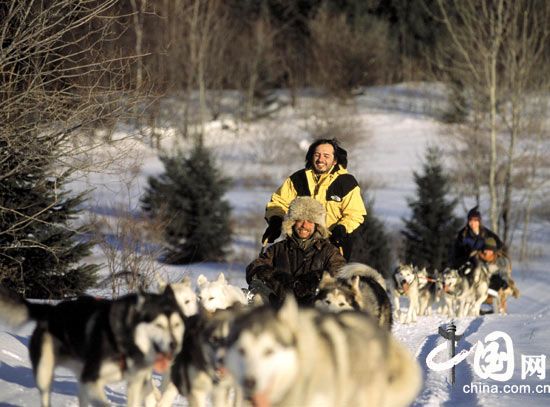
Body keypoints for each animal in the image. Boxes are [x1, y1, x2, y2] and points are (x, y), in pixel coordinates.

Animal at [0, 286, 185, 407]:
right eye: (159, 325)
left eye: (176, 324)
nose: (175, 345)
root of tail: (50, 310)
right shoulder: (91, 380)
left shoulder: (135, 384)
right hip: (44, 373)